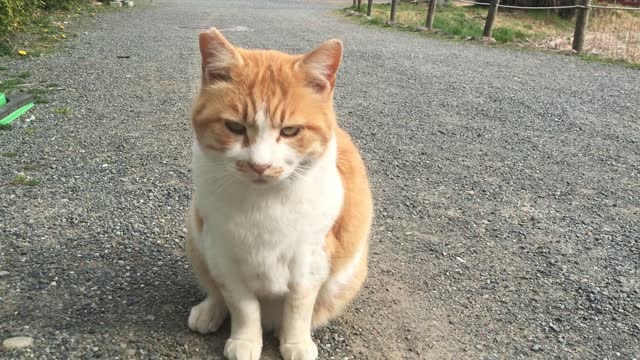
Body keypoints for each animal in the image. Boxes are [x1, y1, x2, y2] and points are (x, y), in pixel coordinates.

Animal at [185, 28, 372, 360]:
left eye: (290, 131)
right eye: (234, 127)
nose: (260, 165)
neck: (264, 203)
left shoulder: (310, 260)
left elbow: (298, 306)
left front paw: (294, 342)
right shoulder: (224, 257)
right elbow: (241, 305)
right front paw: (246, 340)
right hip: (198, 239)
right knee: (215, 290)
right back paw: (210, 310)